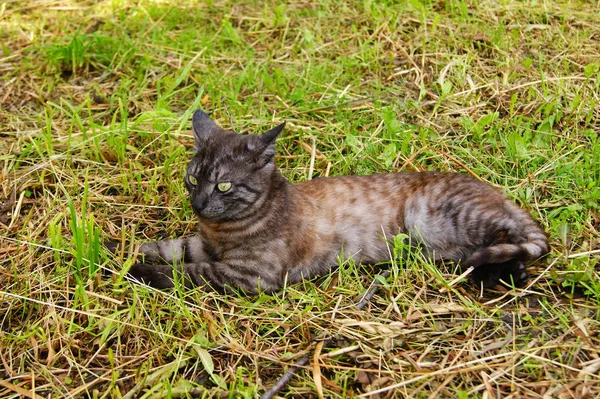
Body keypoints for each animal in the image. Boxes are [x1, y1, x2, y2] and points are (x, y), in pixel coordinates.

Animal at [119, 109, 552, 294]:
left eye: (223, 186)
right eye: (193, 179)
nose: (198, 204)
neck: (222, 230)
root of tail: (498, 194)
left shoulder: (250, 275)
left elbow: (186, 273)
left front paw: (136, 272)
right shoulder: (202, 244)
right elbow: (167, 247)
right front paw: (114, 249)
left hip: (433, 219)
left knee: (513, 242)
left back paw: (496, 274)